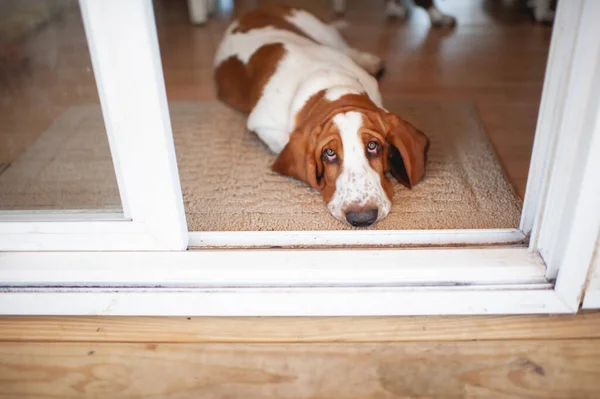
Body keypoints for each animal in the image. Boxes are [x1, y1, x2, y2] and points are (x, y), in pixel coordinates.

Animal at [213, 5, 428, 228]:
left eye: (372, 146)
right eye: (329, 153)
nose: (362, 218)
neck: (332, 86)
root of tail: (255, 10)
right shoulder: (263, 125)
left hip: (324, 32)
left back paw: (370, 61)